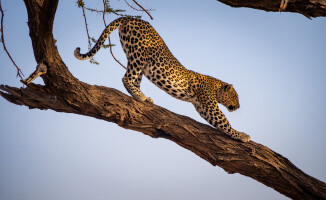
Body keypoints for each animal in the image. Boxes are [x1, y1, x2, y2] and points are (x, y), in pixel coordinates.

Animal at [74, 17, 250, 142]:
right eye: (235, 96)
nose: (239, 106)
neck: (216, 86)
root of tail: (130, 17)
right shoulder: (209, 104)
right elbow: (223, 121)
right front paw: (242, 135)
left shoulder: (201, 106)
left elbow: (216, 122)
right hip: (139, 54)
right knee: (126, 78)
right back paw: (141, 96)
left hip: (135, 57)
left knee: (133, 79)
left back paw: (143, 97)